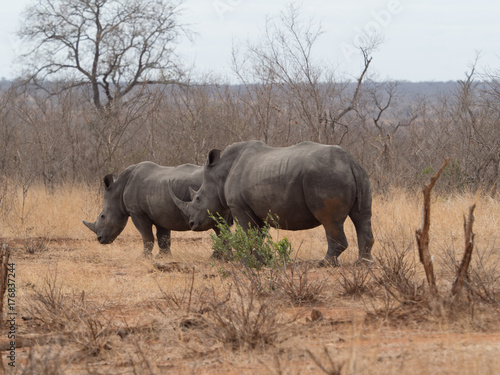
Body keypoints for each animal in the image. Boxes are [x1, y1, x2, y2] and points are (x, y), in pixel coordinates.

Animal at [82, 162, 227, 258]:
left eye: (102, 216)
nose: (100, 239)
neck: (118, 191)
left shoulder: (137, 212)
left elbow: (147, 236)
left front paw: (143, 257)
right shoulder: (162, 213)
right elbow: (163, 237)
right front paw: (164, 257)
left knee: (219, 225)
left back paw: (216, 258)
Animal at [170, 141, 374, 268]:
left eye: (198, 199)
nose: (192, 224)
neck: (219, 173)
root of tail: (349, 161)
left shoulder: (239, 206)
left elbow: (248, 234)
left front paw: (246, 263)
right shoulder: (258, 207)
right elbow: (258, 236)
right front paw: (262, 262)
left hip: (325, 176)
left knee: (329, 221)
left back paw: (324, 264)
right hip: (359, 174)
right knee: (362, 217)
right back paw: (363, 264)